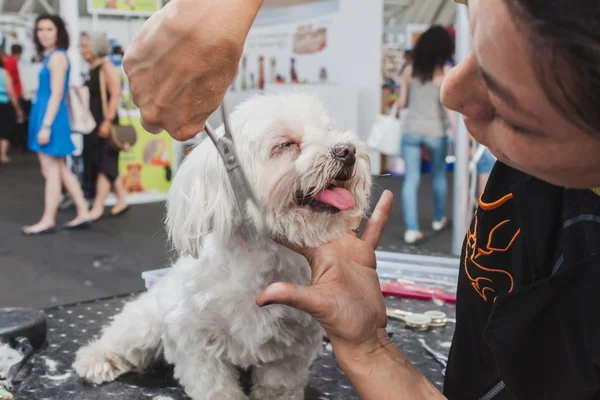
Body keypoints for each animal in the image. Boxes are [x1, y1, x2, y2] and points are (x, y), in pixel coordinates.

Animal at [74, 92, 370, 398]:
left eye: (328, 130)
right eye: (285, 144)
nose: (347, 151)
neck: (258, 262)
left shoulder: (291, 346)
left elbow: (279, 384)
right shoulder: (195, 340)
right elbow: (214, 385)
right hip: (145, 322)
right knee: (121, 340)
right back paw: (95, 360)